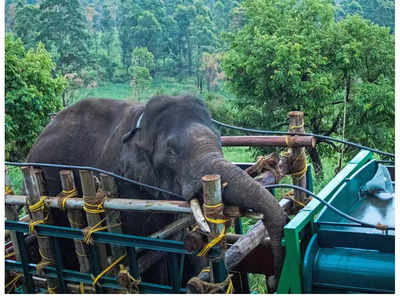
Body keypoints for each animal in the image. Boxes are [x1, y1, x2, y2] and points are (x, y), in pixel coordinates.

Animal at [25, 95, 288, 292]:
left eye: (219, 140)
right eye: (171, 152)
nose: (273, 281)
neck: (140, 126)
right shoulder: (126, 188)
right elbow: (148, 254)